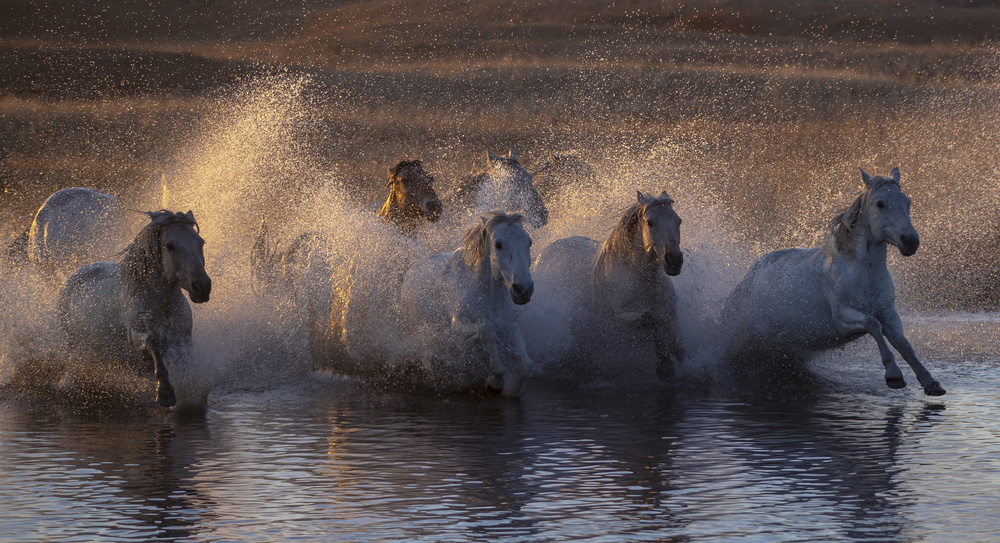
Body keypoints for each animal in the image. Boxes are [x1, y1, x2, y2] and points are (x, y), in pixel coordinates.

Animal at [57, 210, 212, 410]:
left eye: (201, 242)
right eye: (170, 246)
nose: (202, 287)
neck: (163, 305)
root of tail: (70, 278)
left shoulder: (183, 339)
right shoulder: (136, 335)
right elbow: (152, 343)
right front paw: (165, 393)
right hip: (75, 347)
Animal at [400, 211, 540, 396]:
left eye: (529, 242)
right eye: (498, 244)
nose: (523, 289)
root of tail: (411, 269)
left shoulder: (510, 326)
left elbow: (526, 366)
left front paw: (513, 390)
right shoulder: (457, 328)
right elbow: (486, 330)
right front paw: (495, 381)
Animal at [528, 191, 684, 382]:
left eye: (679, 221)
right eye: (650, 222)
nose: (674, 260)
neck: (641, 280)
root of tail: (542, 254)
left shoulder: (670, 310)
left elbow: (672, 334)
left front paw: (680, 357)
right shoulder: (621, 319)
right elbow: (652, 320)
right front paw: (665, 366)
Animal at [720, 168, 944, 398]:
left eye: (908, 202)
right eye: (879, 203)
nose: (910, 241)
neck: (864, 272)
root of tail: (746, 280)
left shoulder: (888, 312)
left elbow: (903, 343)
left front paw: (931, 383)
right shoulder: (843, 317)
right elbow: (873, 324)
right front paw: (894, 376)